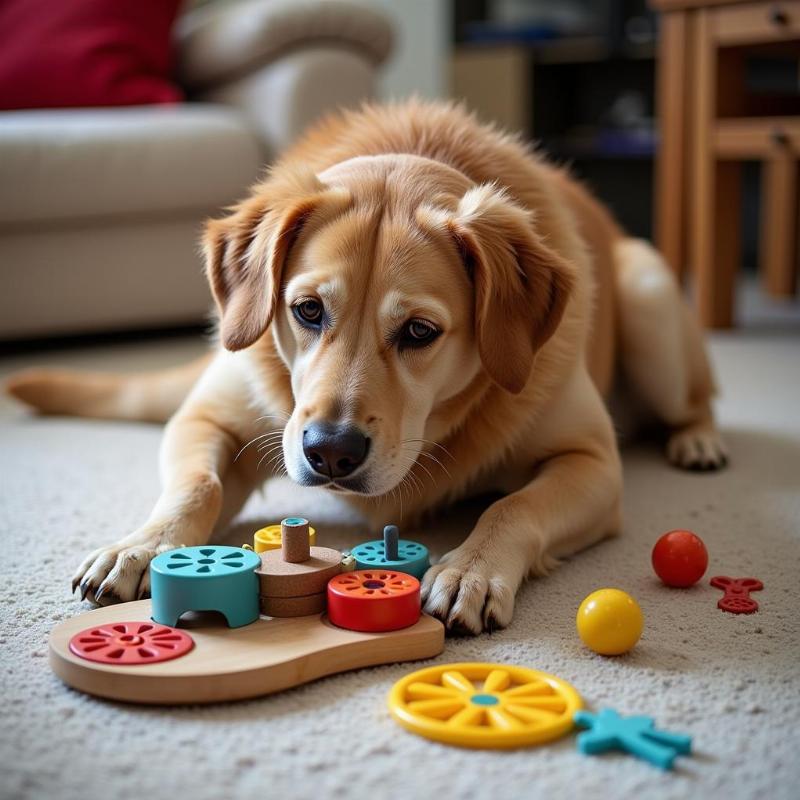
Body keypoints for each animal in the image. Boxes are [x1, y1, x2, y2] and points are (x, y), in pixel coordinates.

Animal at [6, 100, 728, 636]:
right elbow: (197, 488)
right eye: (306, 310)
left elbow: (514, 506)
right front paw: (143, 545)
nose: (329, 452)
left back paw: (697, 440)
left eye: (419, 332)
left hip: (648, 294)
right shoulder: (208, 419)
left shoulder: (592, 463)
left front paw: (470, 569)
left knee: (694, 400)